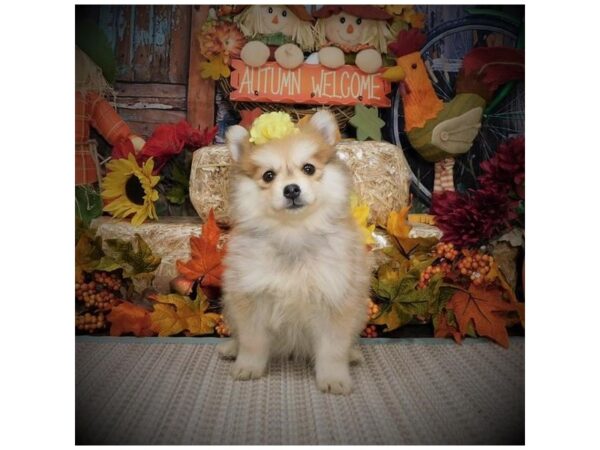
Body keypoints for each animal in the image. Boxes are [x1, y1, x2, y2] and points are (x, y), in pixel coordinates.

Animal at [219, 110, 370, 394]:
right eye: (268, 176)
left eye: (308, 168)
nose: (291, 189)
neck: (293, 234)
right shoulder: (251, 298)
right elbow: (252, 341)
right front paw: (248, 367)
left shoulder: (335, 299)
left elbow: (333, 349)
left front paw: (334, 379)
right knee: (238, 335)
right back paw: (231, 348)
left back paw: (353, 354)